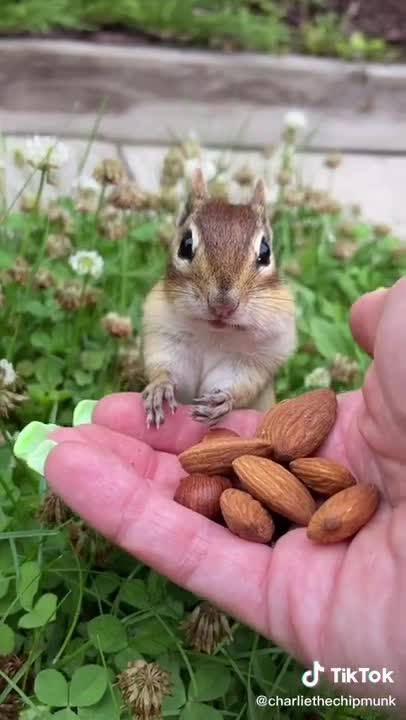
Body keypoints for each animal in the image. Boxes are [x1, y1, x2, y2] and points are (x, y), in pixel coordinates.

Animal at [141, 169, 296, 428]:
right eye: (185, 245)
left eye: (265, 251)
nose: (222, 306)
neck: (213, 334)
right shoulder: (165, 337)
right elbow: (165, 368)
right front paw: (160, 388)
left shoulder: (253, 360)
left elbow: (239, 385)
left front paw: (224, 400)